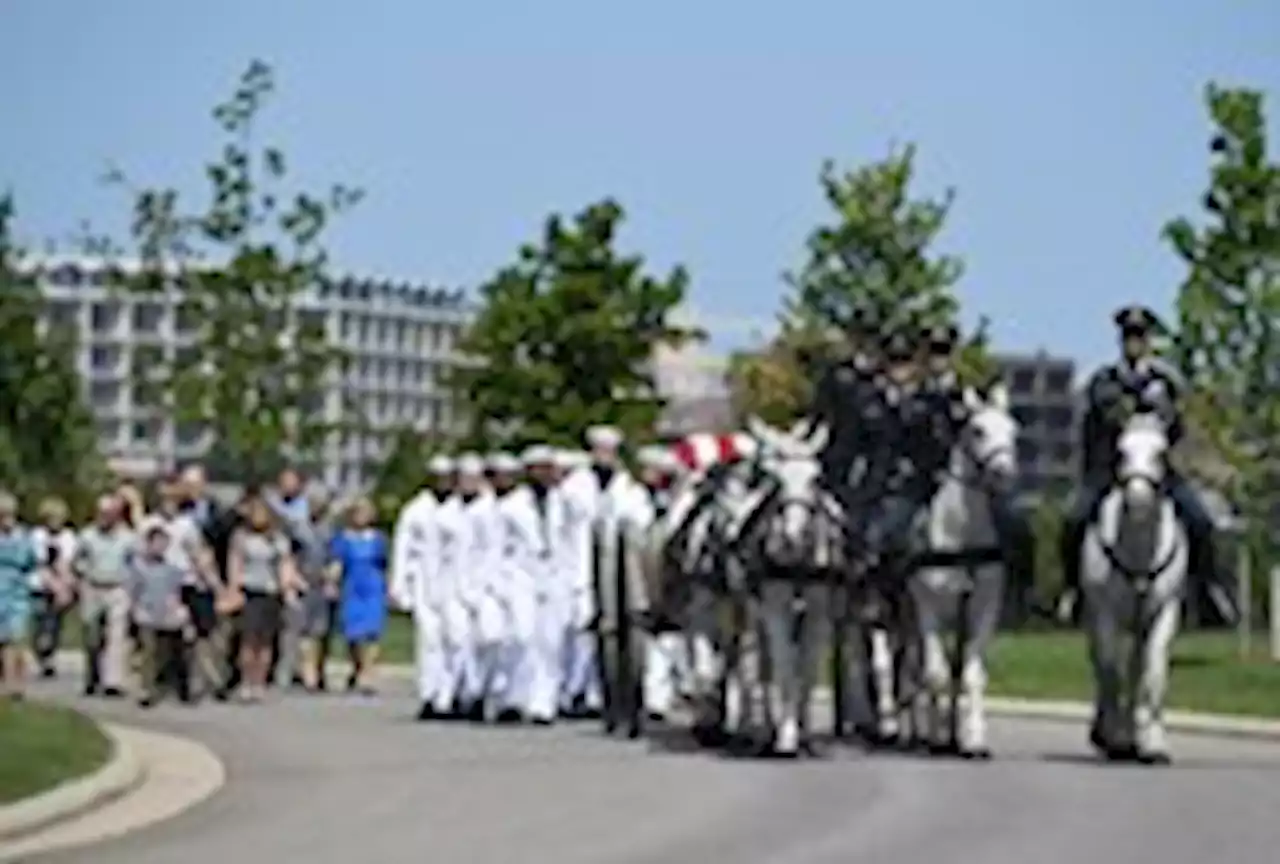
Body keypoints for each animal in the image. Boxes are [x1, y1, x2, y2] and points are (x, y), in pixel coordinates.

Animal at [742, 417, 839, 757]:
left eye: (816, 477)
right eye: (777, 480)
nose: (792, 536)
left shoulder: (820, 613)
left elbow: (808, 668)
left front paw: (806, 734)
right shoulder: (776, 609)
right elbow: (784, 665)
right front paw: (786, 735)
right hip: (752, 612)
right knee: (758, 664)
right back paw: (760, 730)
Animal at [906, 384, 1024, 757]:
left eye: (1013, 430)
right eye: (977, 430)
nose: (1003, 473)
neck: (962, 539)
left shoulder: (982, 610)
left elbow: (971, 676)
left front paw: (972, 738)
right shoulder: (928, 611)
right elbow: (936, 675)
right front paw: (936, 735)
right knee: (916, 671)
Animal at [1080, 409, 1187, 768]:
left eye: (1161, 454)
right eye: (1121, 452)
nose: (1138, 500)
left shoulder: (1165, 612)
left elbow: (1153, 673)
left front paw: (1152, 743)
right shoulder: (1105, 614)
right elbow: (1109, 669)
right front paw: (1114, 738)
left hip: (1139, 625)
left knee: (1136, 669)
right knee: (1104, 667)